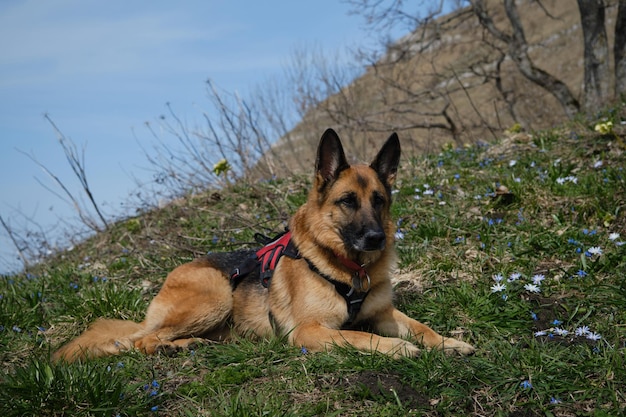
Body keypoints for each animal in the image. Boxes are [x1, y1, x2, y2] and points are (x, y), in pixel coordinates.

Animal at [54, 128, 472, 362]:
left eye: (379, 201)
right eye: (348, 201)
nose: (376, 238)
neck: (348, 268)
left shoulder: (384, 314)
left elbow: (420, 327)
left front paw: (448, 342)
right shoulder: (310, 331)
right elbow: (360, 335)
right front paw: (399, 349)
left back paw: (191, 344)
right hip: (215, 295)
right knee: (143, 341)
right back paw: (173, 347)